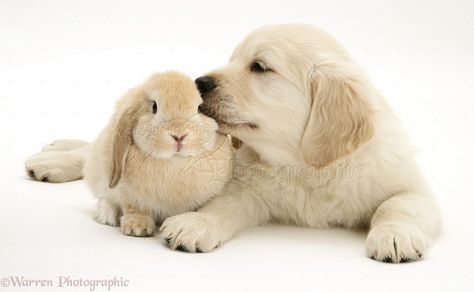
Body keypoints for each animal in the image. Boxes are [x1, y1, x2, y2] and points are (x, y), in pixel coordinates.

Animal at [161, 24, 442, 264]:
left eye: (259, 66)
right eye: (232, 60)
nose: (199, 82)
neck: (306, 166)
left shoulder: (412, 188)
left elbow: (397, 206)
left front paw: (394, 236)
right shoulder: (248, 186)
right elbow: (223, 204)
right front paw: (197, 222)